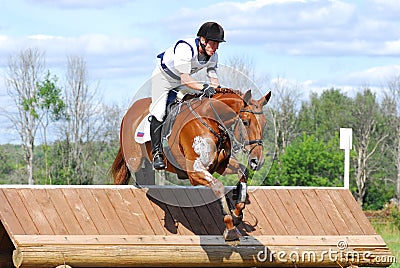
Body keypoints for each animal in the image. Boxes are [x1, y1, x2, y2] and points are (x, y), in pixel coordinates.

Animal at [111, 88, 270, 243]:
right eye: (246, 122)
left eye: (264, 123)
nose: (257, 161)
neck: (209, 120)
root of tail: (129, 112)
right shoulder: (194, 171)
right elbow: (218, 186)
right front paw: (230, 227)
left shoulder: (220, 166)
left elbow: (243, 172)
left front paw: (237, 213)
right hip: (134, 160)